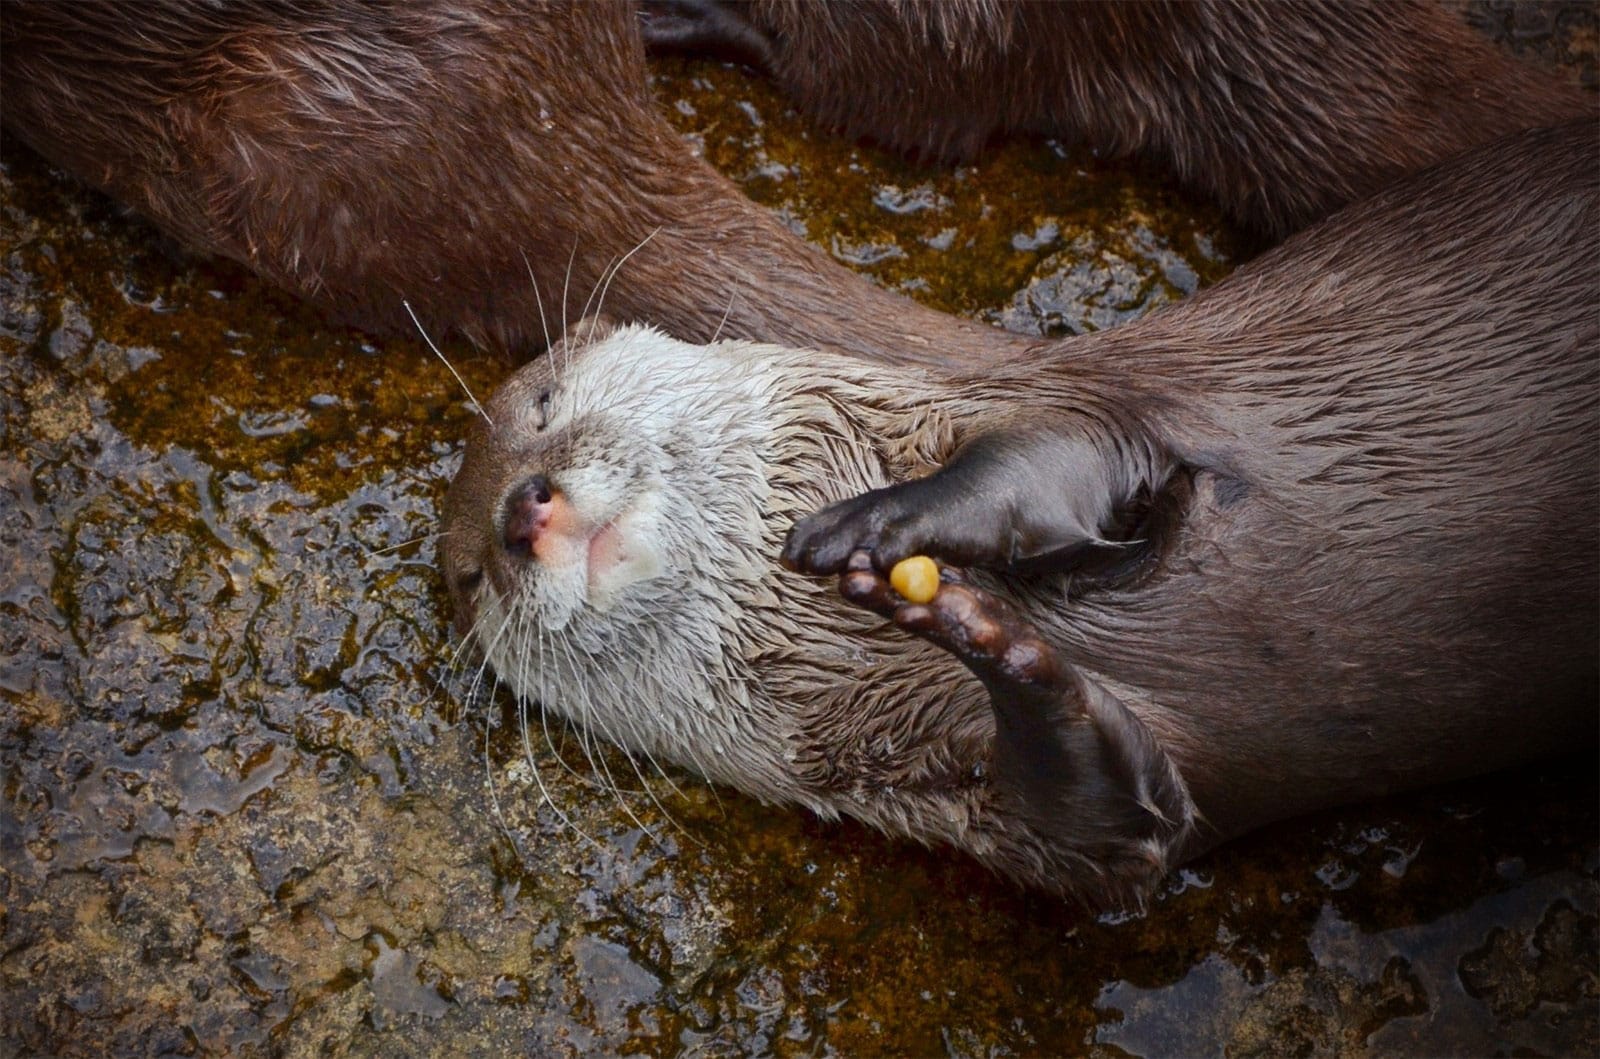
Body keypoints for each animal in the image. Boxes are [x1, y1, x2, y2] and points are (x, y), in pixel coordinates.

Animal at [443, 119, 1598, 906]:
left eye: (543, 405)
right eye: (467, 576)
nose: (518, 511)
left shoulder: (1068, 402)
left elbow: (1048, 459)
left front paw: (871, 528)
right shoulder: (997, 816)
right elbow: (1116, 832)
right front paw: (986, 637)